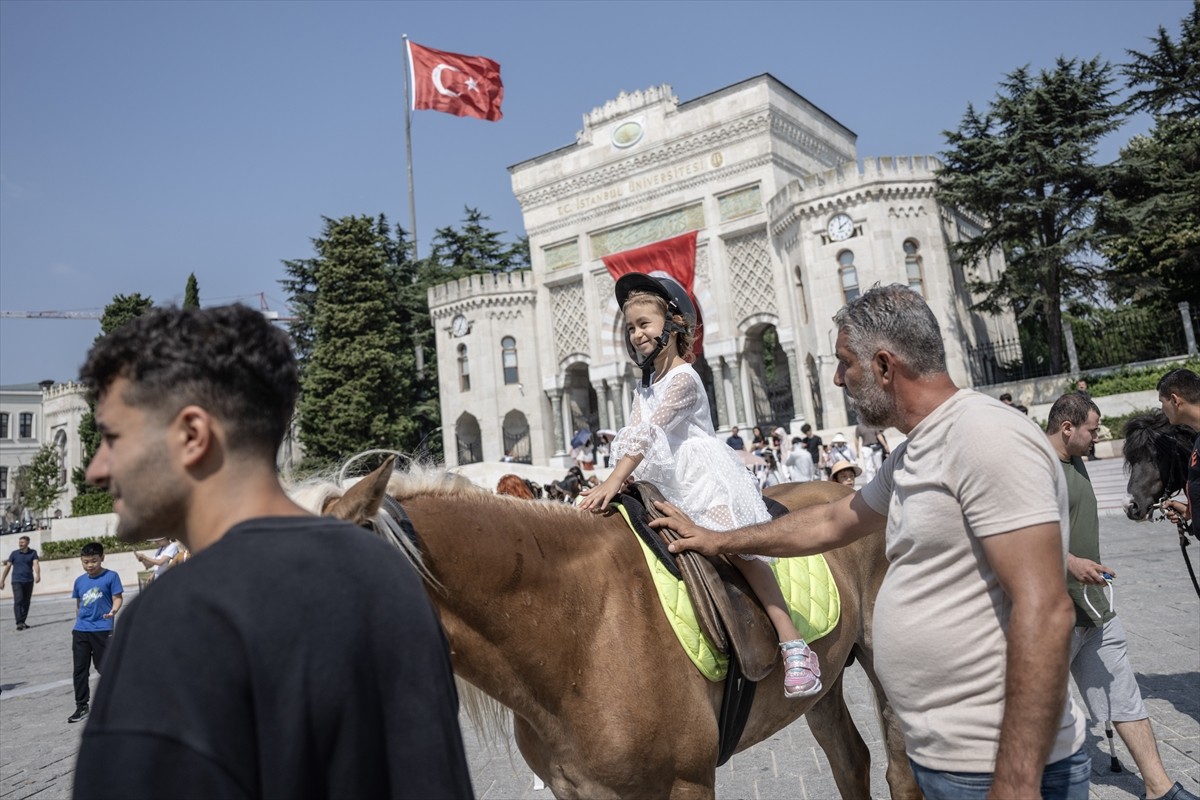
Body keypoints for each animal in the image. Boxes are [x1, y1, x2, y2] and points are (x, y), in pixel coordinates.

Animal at [292, 462, 916, 800]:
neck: (581, 632)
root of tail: (855, 494)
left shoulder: (686, 784)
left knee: (899, 771)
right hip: (824, 688)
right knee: (851, 760)